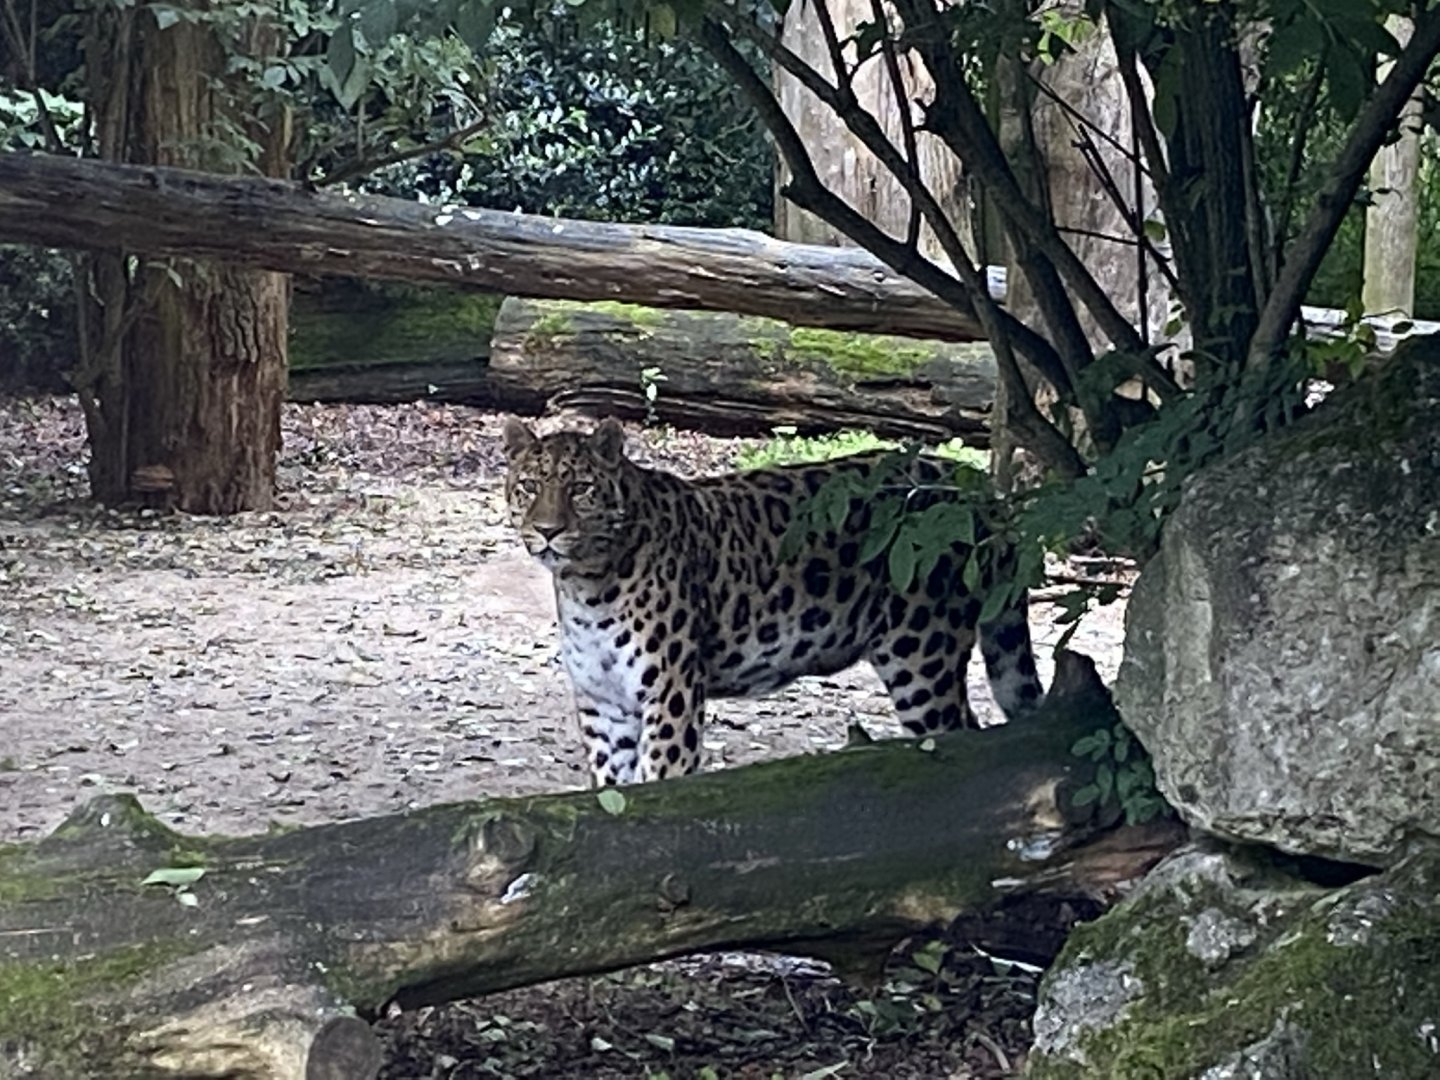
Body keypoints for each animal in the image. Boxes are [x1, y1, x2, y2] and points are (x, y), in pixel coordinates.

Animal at [502, 416, 1045, 786]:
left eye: (581, 488)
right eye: (528, 486)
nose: (546, 531)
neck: (585, 584)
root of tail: (978, 488)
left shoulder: (672, 698)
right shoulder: (605, 707)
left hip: (921, 657)